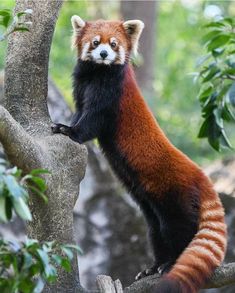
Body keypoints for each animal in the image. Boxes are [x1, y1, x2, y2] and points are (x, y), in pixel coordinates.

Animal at [52, 16, 227, 292]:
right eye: (95, 42)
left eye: (114, 44)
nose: (104, 54)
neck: (97, 74)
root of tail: (200, 176)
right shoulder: (81, 86)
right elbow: (80, 111)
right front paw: (68, 125)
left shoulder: (111, 95)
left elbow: (92, 121)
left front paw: (69, 131)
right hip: (152, 205)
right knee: (156, 231)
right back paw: (154, 266)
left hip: (175, 195)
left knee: (180, 228)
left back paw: (170, 263)